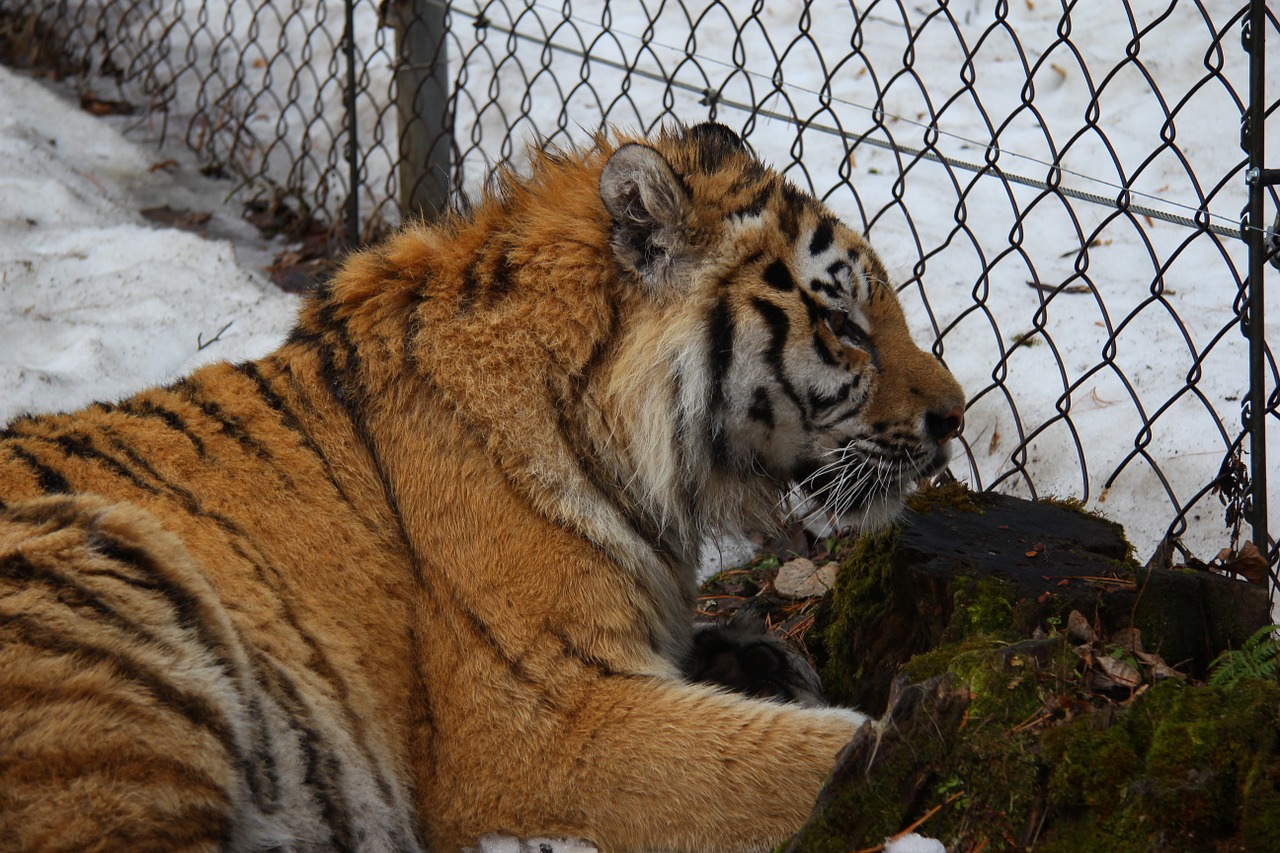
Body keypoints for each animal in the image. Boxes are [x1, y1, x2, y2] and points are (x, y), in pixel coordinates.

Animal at [0, 121, 962, 850]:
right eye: (844, 322)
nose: (954, 418)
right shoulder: (540, 724)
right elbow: (776, 761)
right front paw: (906, 744)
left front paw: (765, 659)